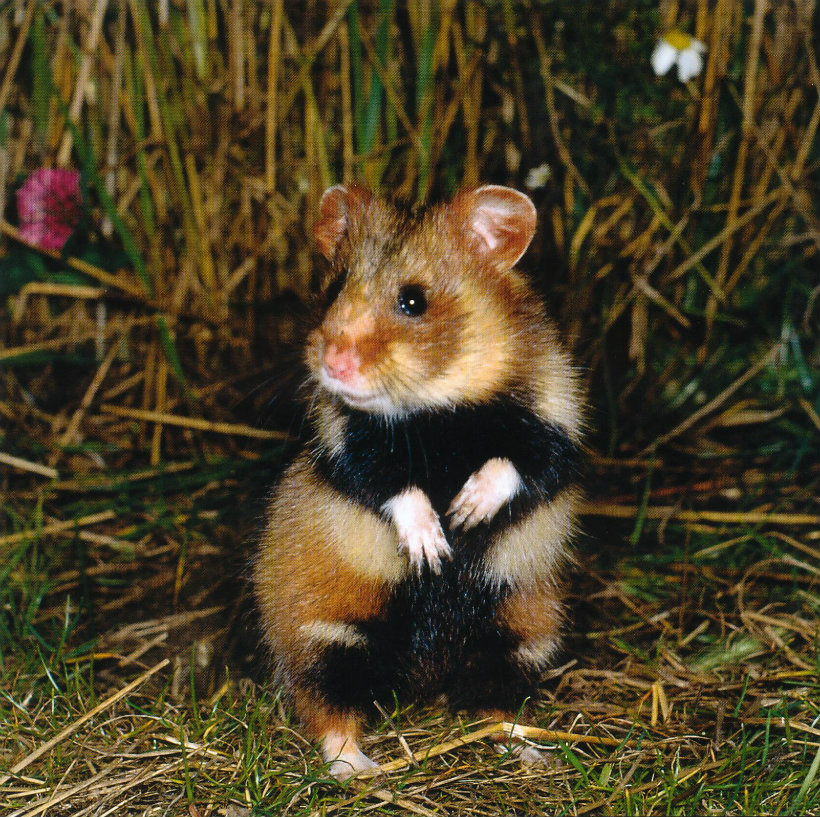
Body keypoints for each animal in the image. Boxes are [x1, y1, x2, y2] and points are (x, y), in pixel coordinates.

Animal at [255, 185, 584, 776]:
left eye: (413, 301)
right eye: (333, 288)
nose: (333, 364)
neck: (440, 403)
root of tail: (424, 680)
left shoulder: (556, 425)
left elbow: (514, 464)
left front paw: (466, 514)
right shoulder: (349, 443)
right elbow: (395, 487)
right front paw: (434, 548)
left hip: (517, 638)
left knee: (492, 705)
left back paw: (528, 751)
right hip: (327, 639)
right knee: (328, 709)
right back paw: (360, 770)